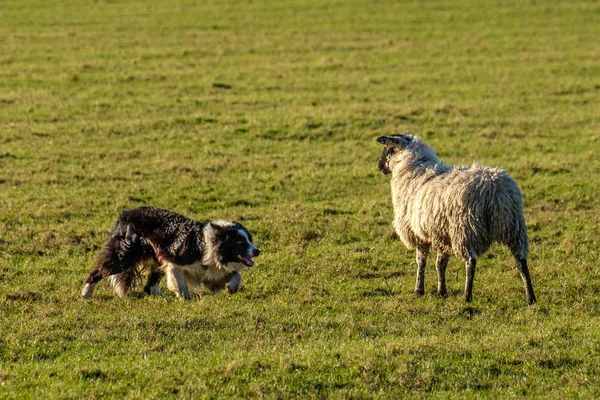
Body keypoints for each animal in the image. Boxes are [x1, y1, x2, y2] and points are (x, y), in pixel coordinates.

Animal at [81, 208, 258, 298]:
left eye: (250, 239)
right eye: (240, 242)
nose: (257, 251)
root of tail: (126, 215)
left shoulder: (210, 272)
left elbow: (236, 274)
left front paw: (232, 287)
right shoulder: (174, 260)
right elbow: (181, 285)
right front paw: (185, 300)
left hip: (154, 260)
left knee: (149, 285)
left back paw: (160, 298)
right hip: (124, 257)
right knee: (98, 272)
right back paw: (86, 294)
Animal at [378, 133, 536, 304]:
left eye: (389, 148)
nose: (379, 166)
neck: (414, 168)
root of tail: (493, 187)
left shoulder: (416, 234)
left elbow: (421, 262)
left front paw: (418, 291)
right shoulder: (441, 235)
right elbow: (440, 264)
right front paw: (441, 292)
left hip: (466, 229)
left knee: (471, 262)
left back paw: (467, 296)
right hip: (514, 227)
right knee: (521, 260)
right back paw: (530, 297)